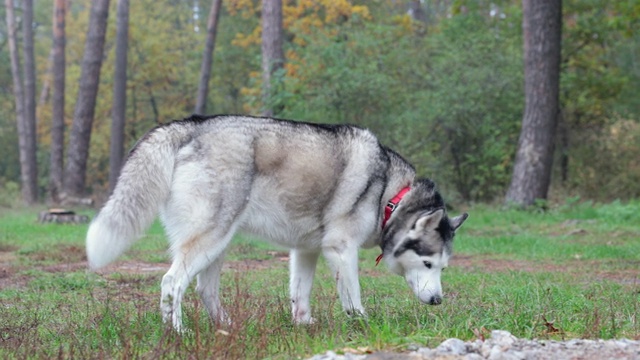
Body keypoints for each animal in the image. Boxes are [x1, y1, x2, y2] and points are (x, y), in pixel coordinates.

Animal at [86, 114, 464, 330]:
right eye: (427, 263)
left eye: (443, 267)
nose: (438, 301)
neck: (391, 194)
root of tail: (190, 124)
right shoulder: (340, 250)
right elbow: (353, 297)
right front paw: (362, 324)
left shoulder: (306, 251)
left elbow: (300, 293)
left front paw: (303, 325)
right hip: (210, 239)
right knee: (172, 283)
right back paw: (179, 333)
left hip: (218, 245)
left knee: (204, 289)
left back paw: (227, 327)